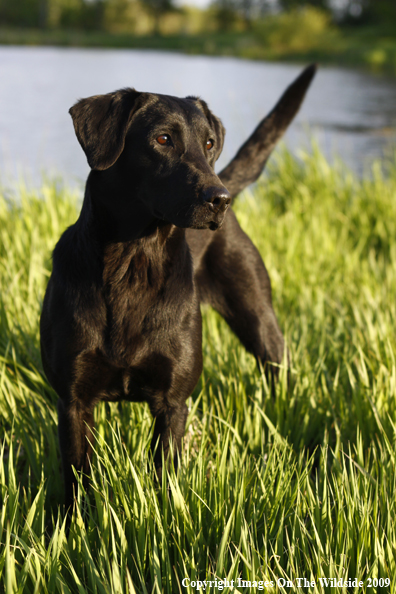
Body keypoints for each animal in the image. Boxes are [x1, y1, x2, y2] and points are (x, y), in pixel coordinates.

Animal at [41, 66, 316, 508]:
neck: (133, 265)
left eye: (208, 143)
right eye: (163, 139)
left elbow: (163, 477)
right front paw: (76, 523)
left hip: (259, 319)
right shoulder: (73, 400)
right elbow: (78, 480)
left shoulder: (172, 403)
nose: (219, 198)